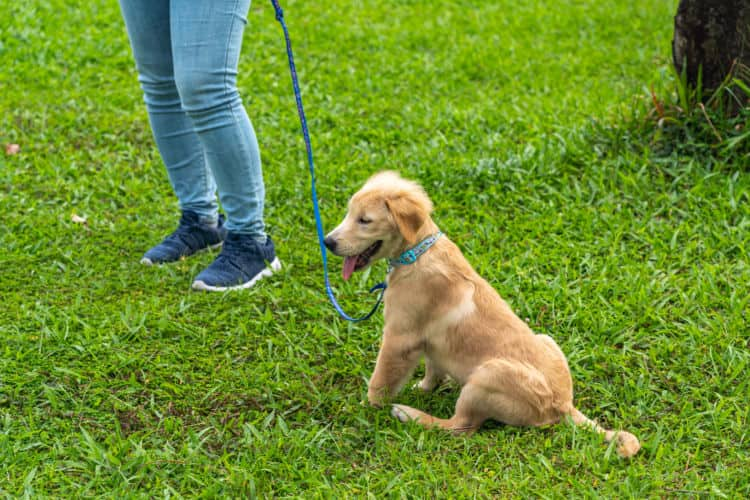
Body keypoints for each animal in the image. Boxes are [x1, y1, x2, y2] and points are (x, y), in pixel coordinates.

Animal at [324, 171, 640, 458]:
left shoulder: (398, 339)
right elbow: (433, 368)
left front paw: (366, 409)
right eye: (350, 213)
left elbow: (380, 380)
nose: (327, 242)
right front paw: (424, 388)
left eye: (365, 220)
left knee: (460, 427)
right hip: (545, 340)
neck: (417, 252)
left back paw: (408, 414)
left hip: (487, 376)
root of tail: (563, 405)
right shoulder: (428, 341)